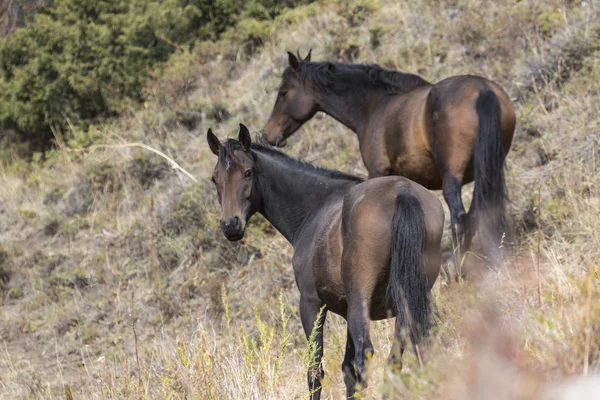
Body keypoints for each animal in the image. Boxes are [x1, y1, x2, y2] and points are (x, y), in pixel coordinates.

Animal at [209, 123, 442, 398]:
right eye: (215, 179)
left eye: (247, 173)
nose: (230, 225)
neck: (315, 208)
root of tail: (402, 191)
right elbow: (348, 371)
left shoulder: (311, 305)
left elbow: (315, 371)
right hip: (407, 304)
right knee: (402, 356)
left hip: (361, 303)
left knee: (367, 355)